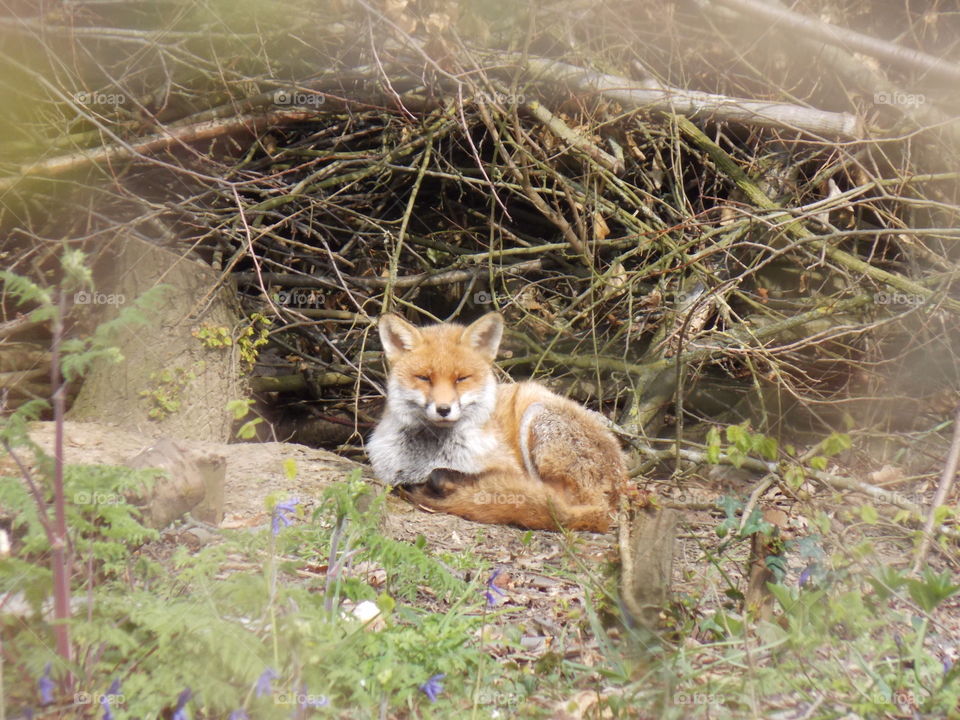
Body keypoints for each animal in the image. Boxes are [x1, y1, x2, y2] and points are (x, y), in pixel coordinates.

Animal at [366, 312, 627, 532]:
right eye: (424, 378)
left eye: (461, 379)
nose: (443, 409)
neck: (431, 455)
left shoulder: (509, 468)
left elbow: (448, 476)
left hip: (536, 413)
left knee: (556, 502)